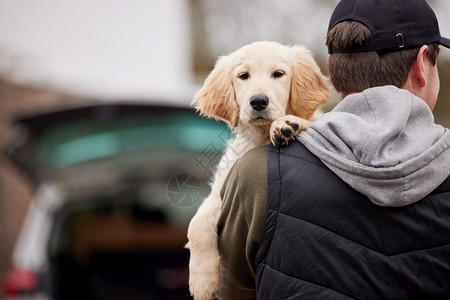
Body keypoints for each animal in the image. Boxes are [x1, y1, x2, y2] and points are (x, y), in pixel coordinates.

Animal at [186, 40, 330, 300]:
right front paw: (202, 282)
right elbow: (196, 224)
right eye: (243, 76)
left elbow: (312, 122)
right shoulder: (220, 192)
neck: (261, 138)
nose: (259, 101)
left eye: (278, 74)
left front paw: (288, 124)